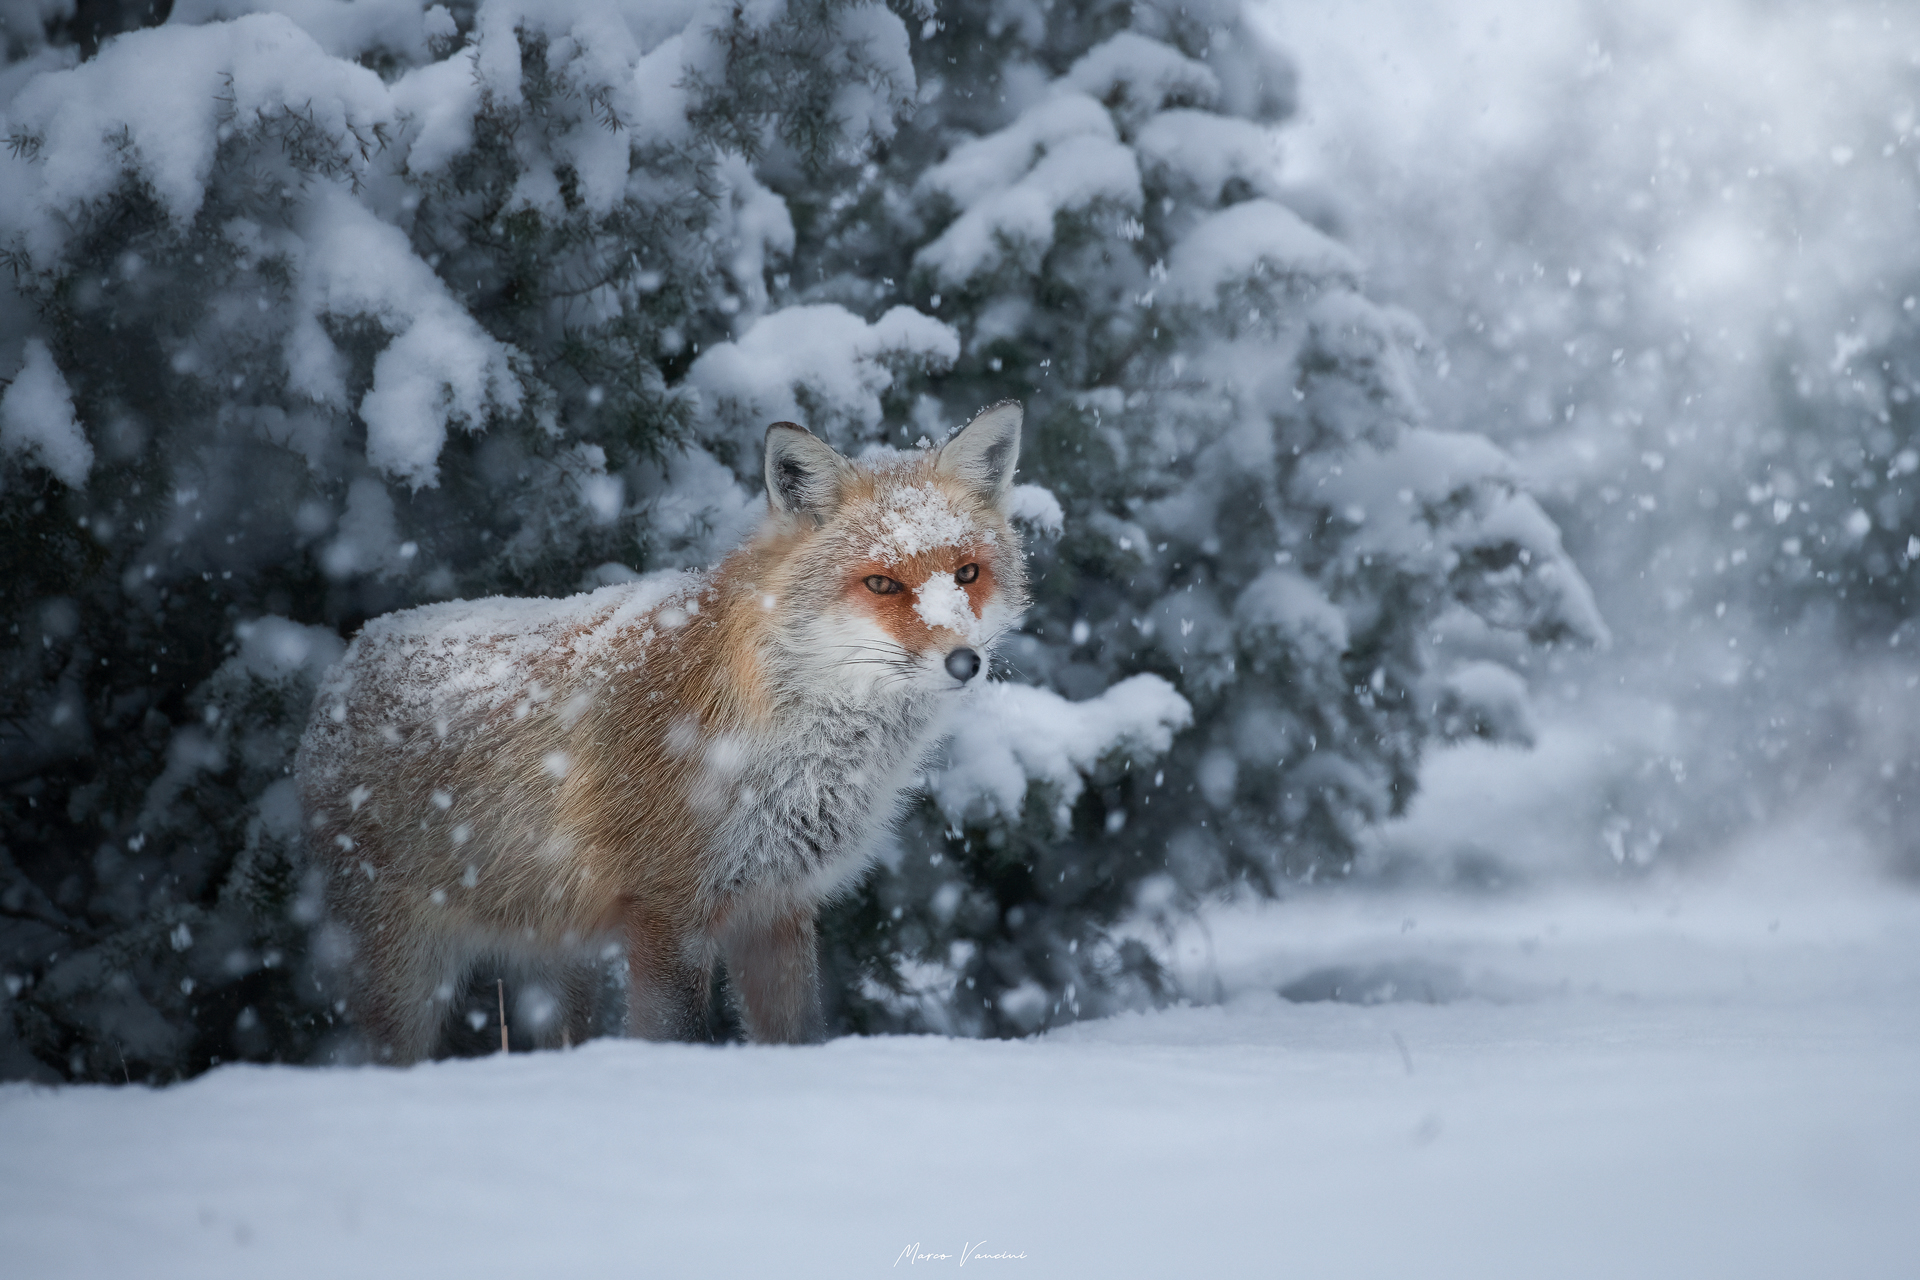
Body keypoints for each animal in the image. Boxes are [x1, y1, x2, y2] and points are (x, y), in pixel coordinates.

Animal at [295, 401, 1027, 1062]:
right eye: (880, 583)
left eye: (967, 574)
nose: (965, 661)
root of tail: (350, 657)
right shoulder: (668, 912)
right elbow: (678, 1039)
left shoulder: (776, 910)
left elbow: (798, 1035)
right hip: (405, 975)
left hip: (556, 962)